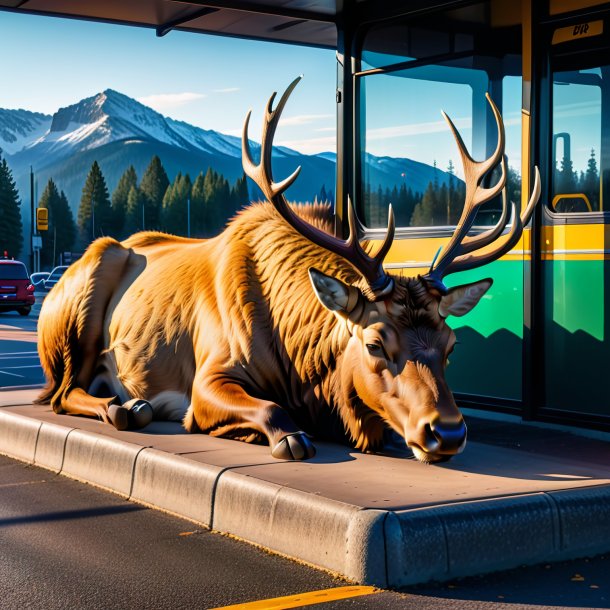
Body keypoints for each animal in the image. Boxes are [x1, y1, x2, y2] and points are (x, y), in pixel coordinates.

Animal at [36, 78, 536, 464]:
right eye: (375, 344)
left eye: (452, 345)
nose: (447, 432)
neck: (305, 368)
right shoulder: (207, 376)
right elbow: (274, 413)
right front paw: (285, 436)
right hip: (78, 308)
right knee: (62, 392)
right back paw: (126, 407)